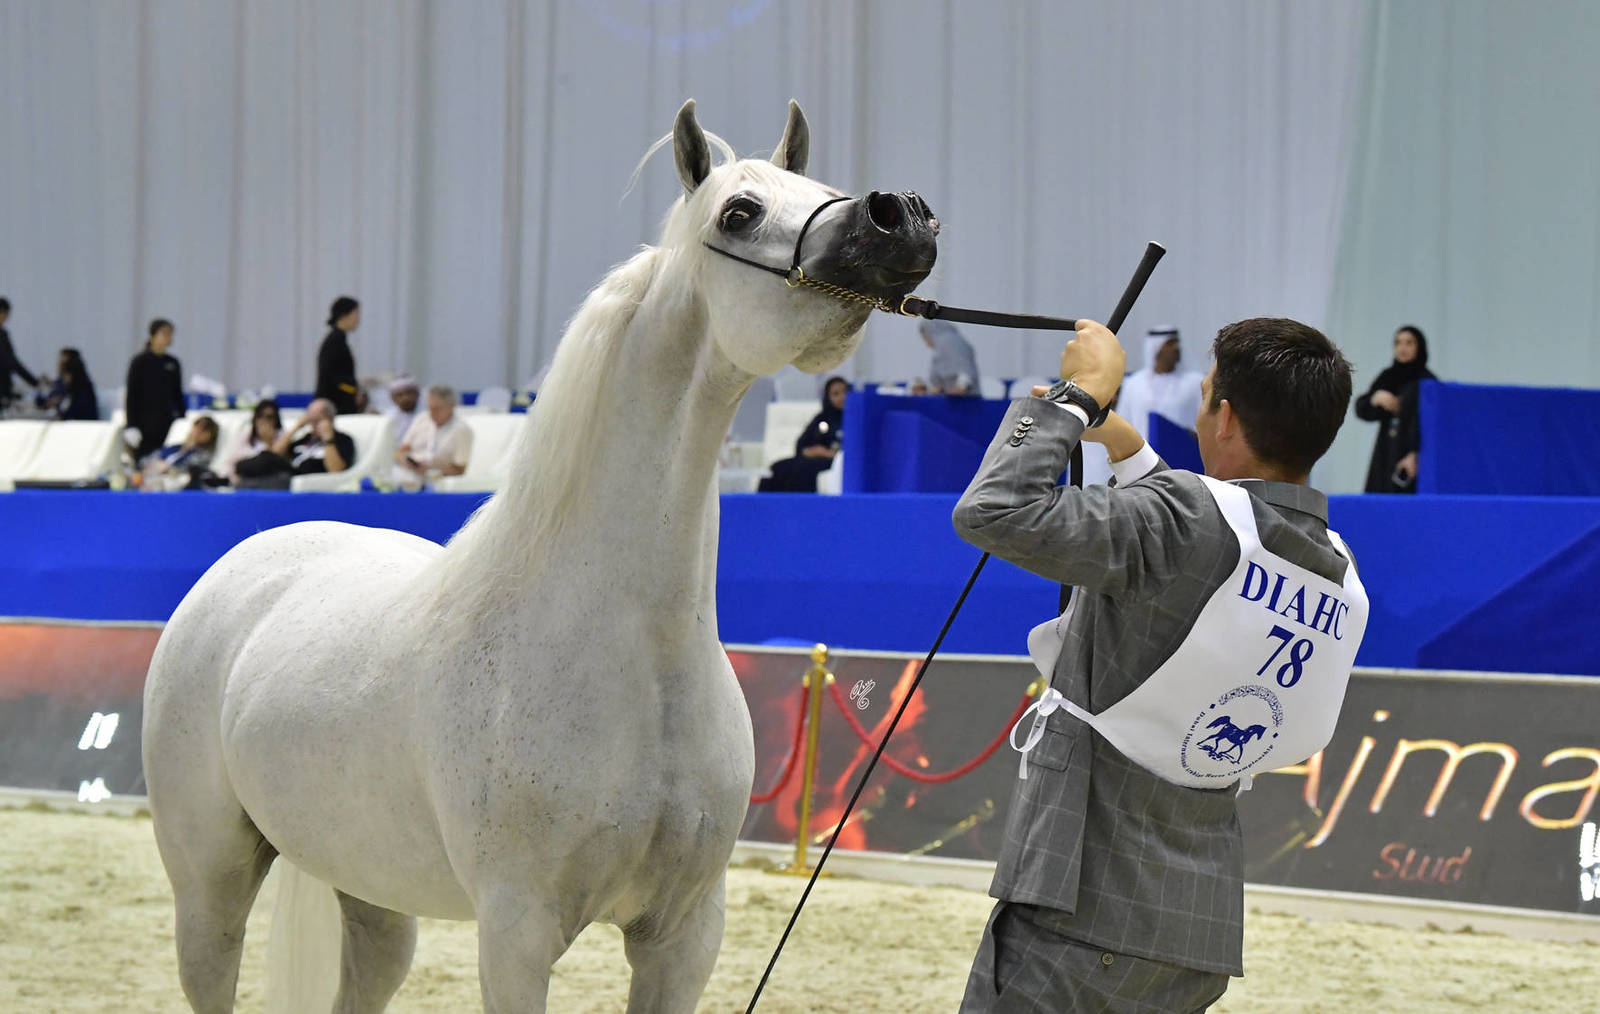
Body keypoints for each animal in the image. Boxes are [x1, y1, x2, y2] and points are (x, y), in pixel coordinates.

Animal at [140, 99, 937, 1014]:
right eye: (740, 212)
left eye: (822, 187)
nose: (899, 214)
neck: (630, 650)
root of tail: (244, 565)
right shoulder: (517, 931)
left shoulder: (684, 933)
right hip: (210, 887)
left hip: (372, 894)